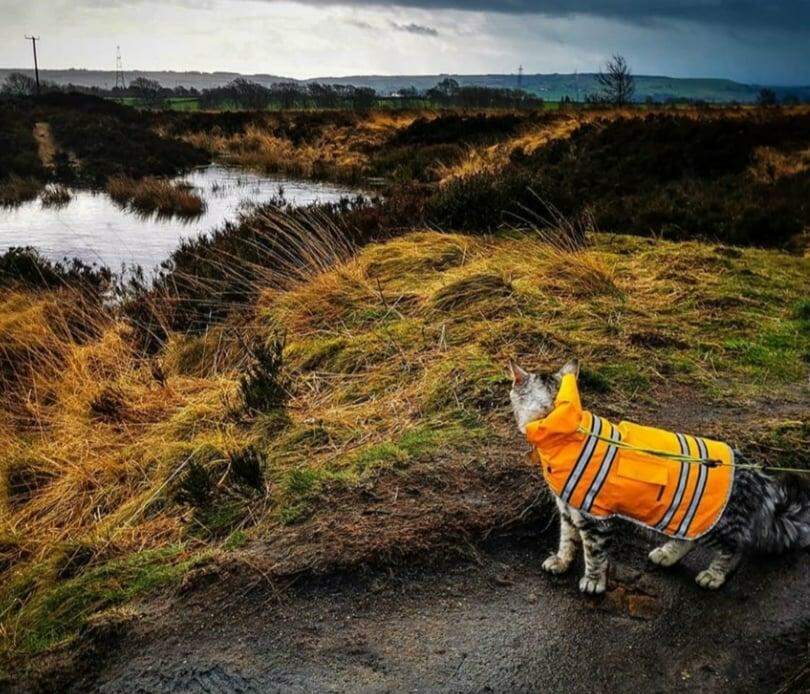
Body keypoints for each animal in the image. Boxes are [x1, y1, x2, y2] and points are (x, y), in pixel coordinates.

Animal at [512, 362, 808, 596]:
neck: (565, 426)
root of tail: (756, 473)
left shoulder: (594, 517)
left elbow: (594, 553)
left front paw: (593, 581)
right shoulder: (566, 509)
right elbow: (567, 540)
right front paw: (561, 561)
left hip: (719, 525)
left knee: (735, 548)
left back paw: (714, 575)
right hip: (690, 517)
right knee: (689, 539)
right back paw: (667, 554)